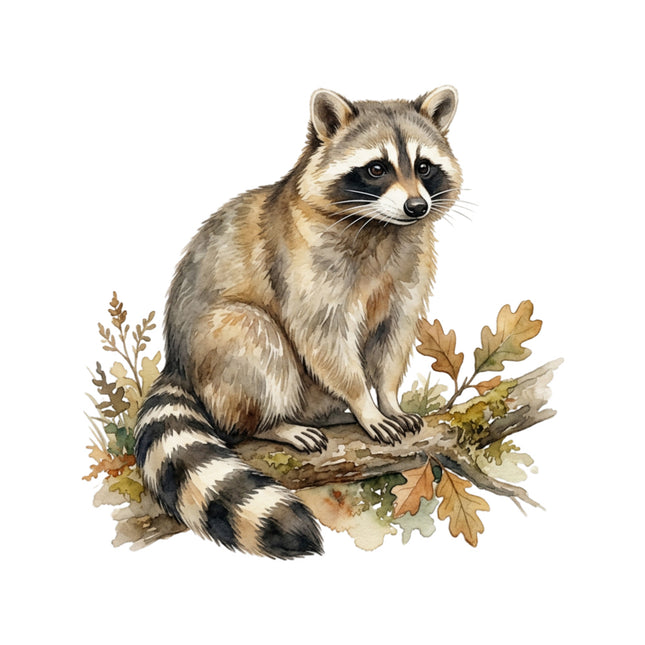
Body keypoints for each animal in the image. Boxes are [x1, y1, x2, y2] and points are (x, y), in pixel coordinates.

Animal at [134, 86, 463, 558]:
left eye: (423, 167)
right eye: (376, 168)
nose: (416, 207)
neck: (380, 226)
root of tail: (176, 360)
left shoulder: (409, 264)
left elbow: (394, 334)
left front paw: (387, 397)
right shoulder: (302, 261)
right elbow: (321, 335)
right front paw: (363, 401)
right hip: (219, 348)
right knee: (253, 336)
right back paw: (274, 423)